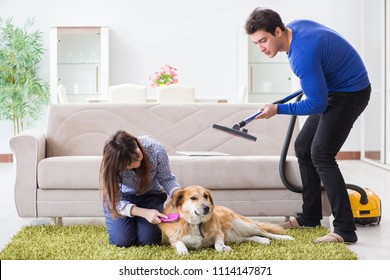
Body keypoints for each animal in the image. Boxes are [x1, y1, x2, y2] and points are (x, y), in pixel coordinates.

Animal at [158, 185, 292, 255]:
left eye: (206, 196)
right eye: (193, 198)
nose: (207, 208)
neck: (196, 223)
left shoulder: (219, 233)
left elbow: (218, 244)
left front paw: (223, 248)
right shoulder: (174, 239)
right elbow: (179, 242)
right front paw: (182, 250)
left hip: (244, 225)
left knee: (265, 232)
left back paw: (285, 238)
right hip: (234, 237)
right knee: (249, 237)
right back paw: (262, 240)